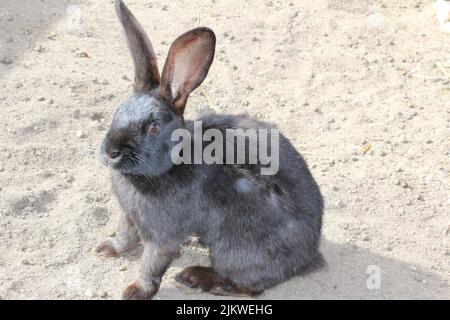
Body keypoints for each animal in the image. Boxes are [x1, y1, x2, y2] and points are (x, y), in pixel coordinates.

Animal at [96, 0, 326, 300]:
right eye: (117, 112)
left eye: (153, 127)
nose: (110, 151)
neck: (172, 163)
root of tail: (309, 257)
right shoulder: (129, 216)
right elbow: (125, 235)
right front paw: (106, 249)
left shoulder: (163, 235)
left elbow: (151, 264)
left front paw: (134, 291)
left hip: (233, 249)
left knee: (247, 287)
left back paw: (195, 277)